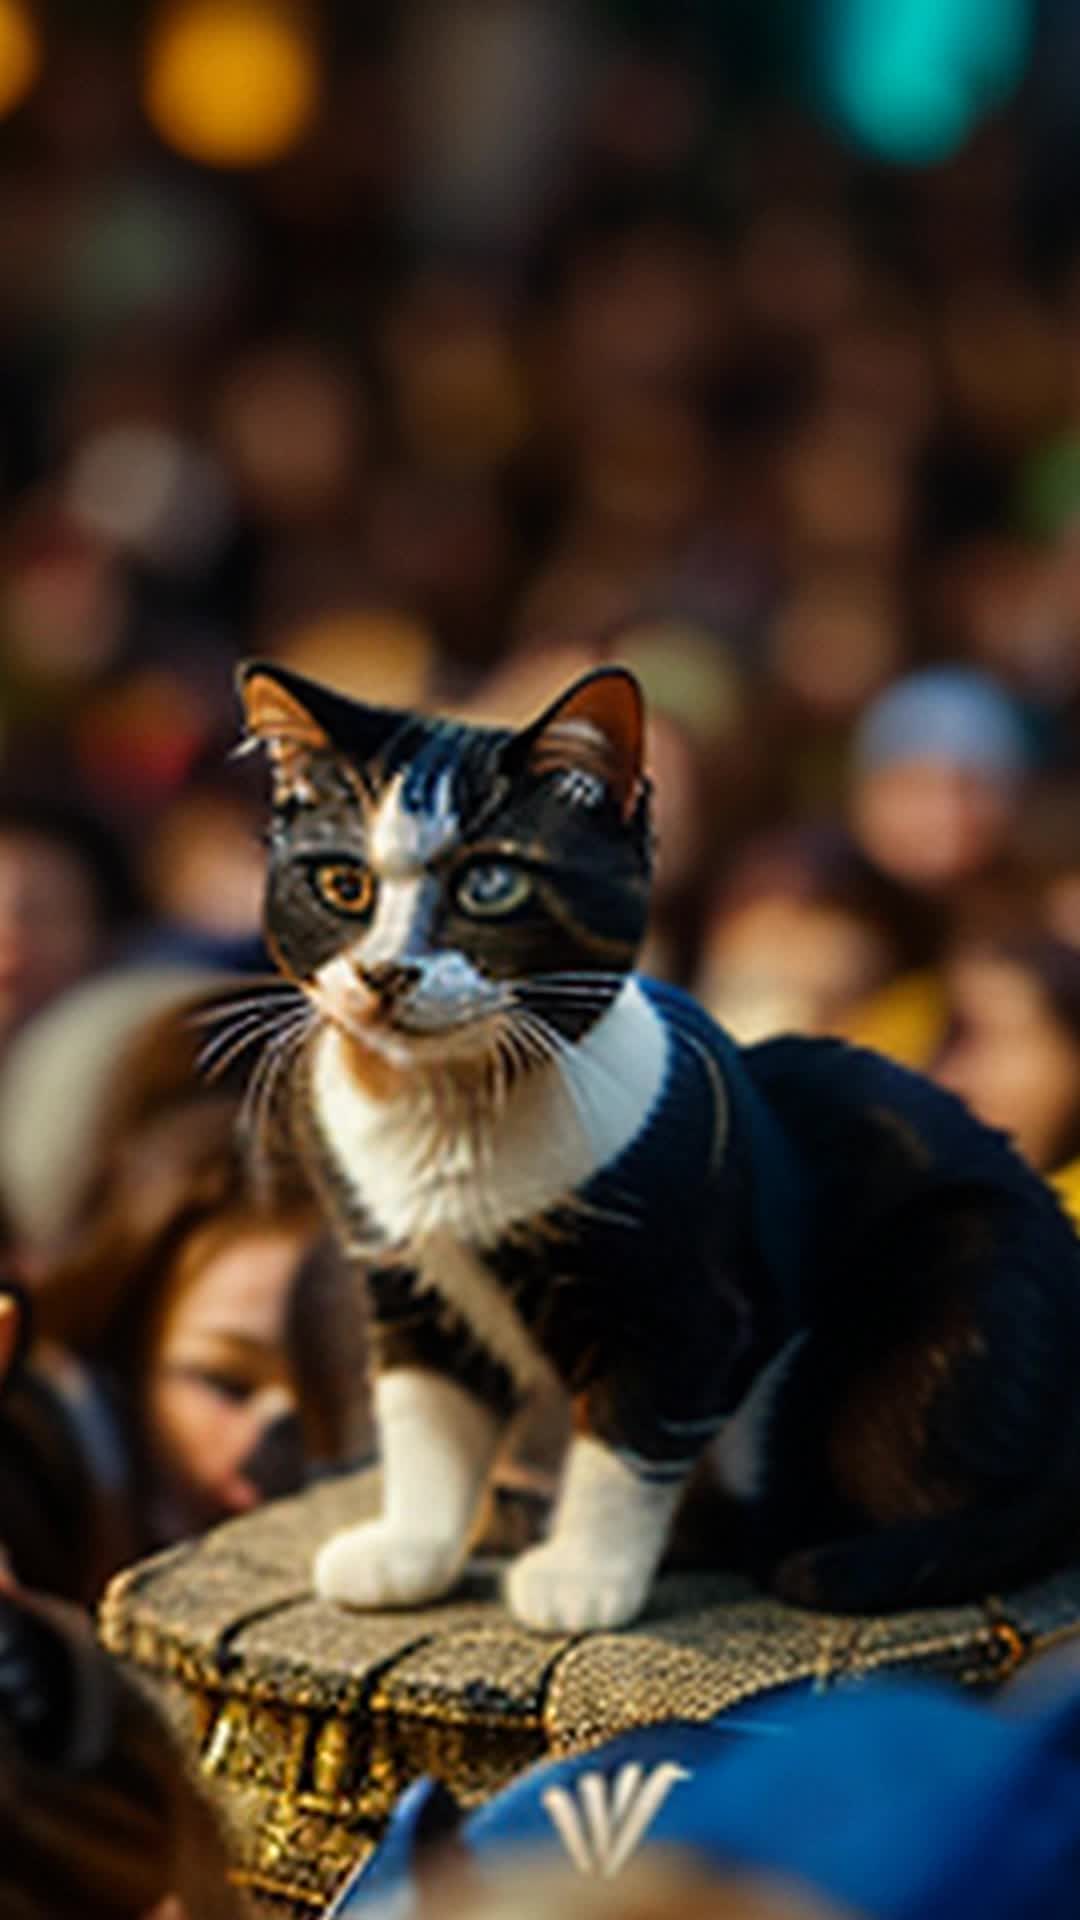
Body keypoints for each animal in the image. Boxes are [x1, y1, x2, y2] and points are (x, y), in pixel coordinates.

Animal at [237, 664, 1080, 1635]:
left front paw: (583, 1582)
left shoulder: (691, 1306)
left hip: (968, 1285)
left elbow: (625, 1441)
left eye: (490, 885)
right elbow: (425, 1424)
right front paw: (410, 1551)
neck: (449, 1118)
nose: (384, 973)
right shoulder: (409, 1284)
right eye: (342, 884)